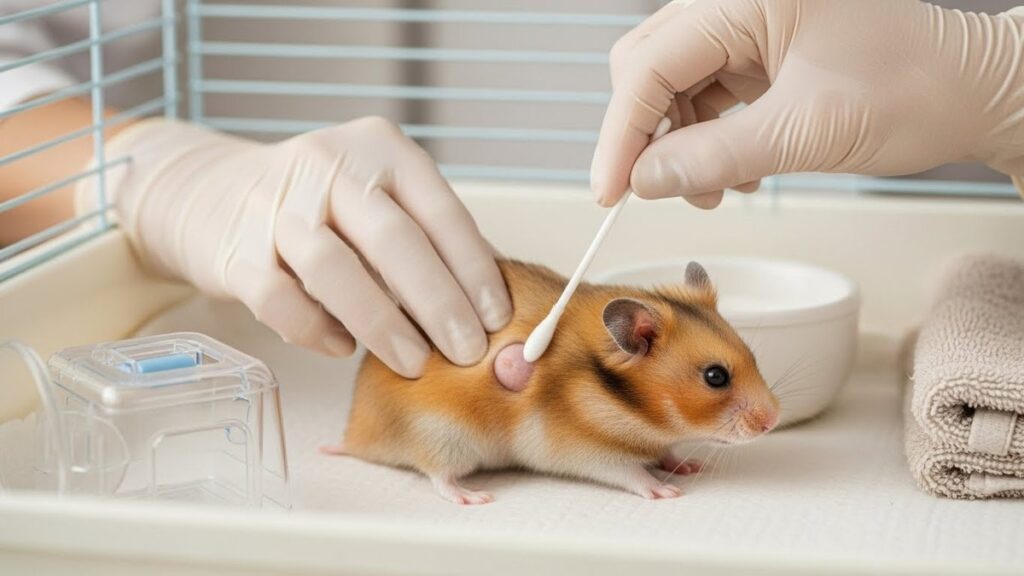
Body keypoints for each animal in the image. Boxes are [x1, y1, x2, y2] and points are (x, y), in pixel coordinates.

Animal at [323, 260, 780, 505]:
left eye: (753, 356)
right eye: (715, 376)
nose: (774, 421)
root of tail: (356, 432)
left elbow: (666, 453)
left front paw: (688, 465)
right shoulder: (586, 451)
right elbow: (630, 472)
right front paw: (666, 493)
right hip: (442, 435)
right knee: (438, 477)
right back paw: (473, 496)